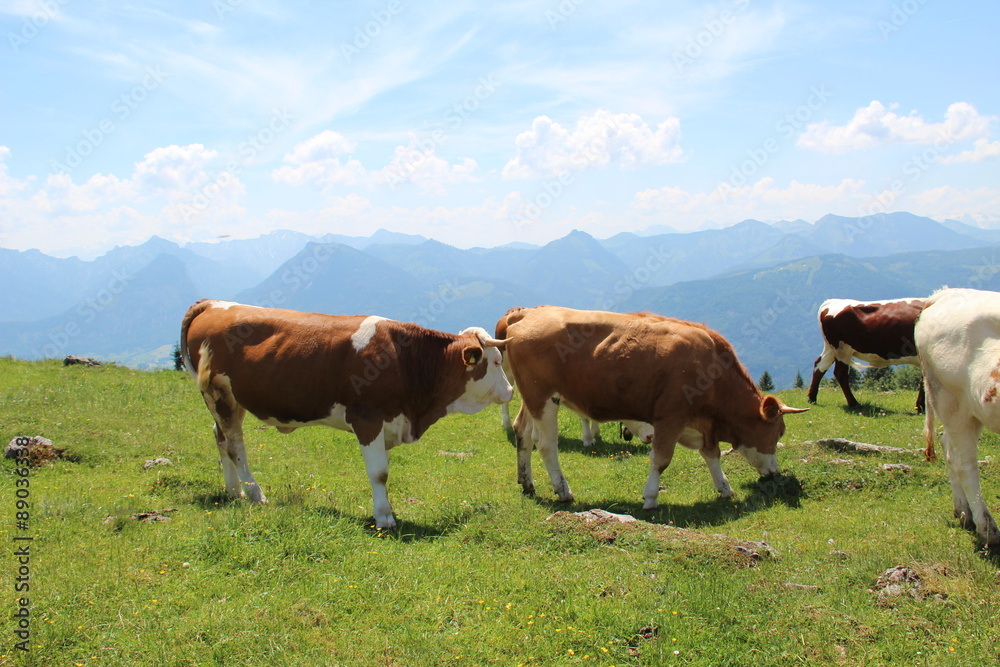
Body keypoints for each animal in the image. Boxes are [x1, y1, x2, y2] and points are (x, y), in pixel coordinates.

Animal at [178, 300, 516, 528]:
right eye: (496, 362)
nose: (511, 390)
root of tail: (212, 304)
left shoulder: (389, 421)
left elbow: (384, 470)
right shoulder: (367, 418)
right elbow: (379, 472)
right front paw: (384, 517)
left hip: (231, 401)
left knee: (221, 438)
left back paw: (233, 490)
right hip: (219, 394)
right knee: (235, 445)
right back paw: (254, 493)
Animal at [494, 308, 652, 448]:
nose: (651, 437)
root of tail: (518, 312)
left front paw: (595, 432)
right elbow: (584, 416)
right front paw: (588, 439)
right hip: (506, 368)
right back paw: (507, 423)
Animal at [916, 290, 1000, 552]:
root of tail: (944, 293)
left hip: (974, 411)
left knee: (948, 447)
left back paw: (963, 512)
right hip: (950, 399)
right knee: (964, 463)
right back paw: (987, 529)